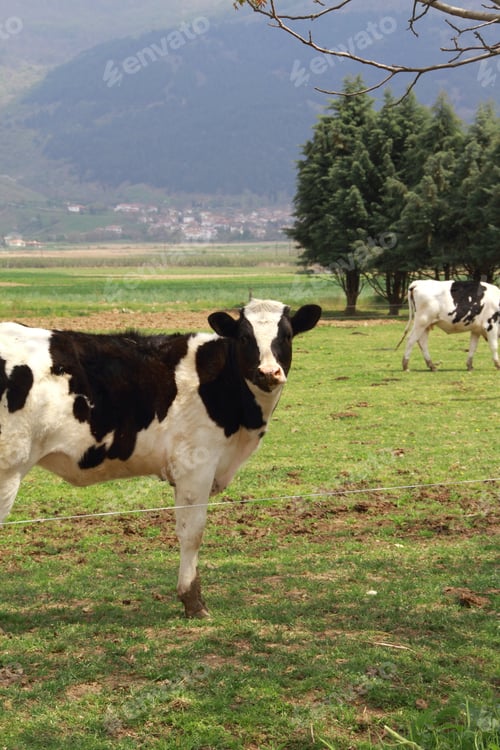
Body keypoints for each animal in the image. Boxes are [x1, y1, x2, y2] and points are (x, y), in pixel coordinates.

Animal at [0, 298, 321, 617]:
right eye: (244, 337)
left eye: (287, 335)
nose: (268, 372)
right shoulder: (196, 466)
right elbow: (192, 532)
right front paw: (193, 601)